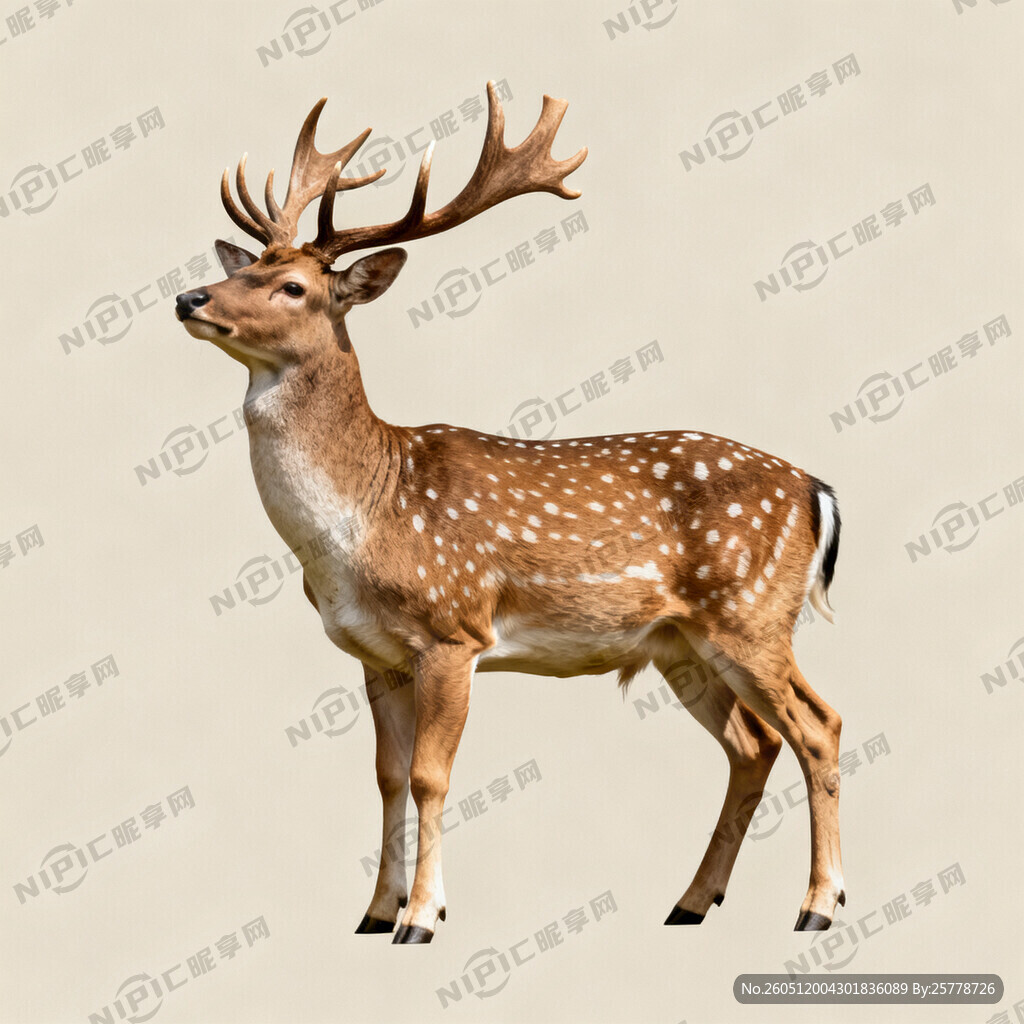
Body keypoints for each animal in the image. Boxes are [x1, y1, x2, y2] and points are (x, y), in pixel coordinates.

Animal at [174, 82, 845, 944]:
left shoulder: (453, 628)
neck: (361, 522)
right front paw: (373, 913)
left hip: (753, 612)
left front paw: (423, 917)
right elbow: (386, 777)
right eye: (252, 264)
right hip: (682, 644)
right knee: (754, 744)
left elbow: (430, 775)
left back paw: (818, 906)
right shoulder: (374, 654)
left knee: (818, 726)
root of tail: (815, 488)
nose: (188, 296)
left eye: (294, 287)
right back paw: (691, 902)